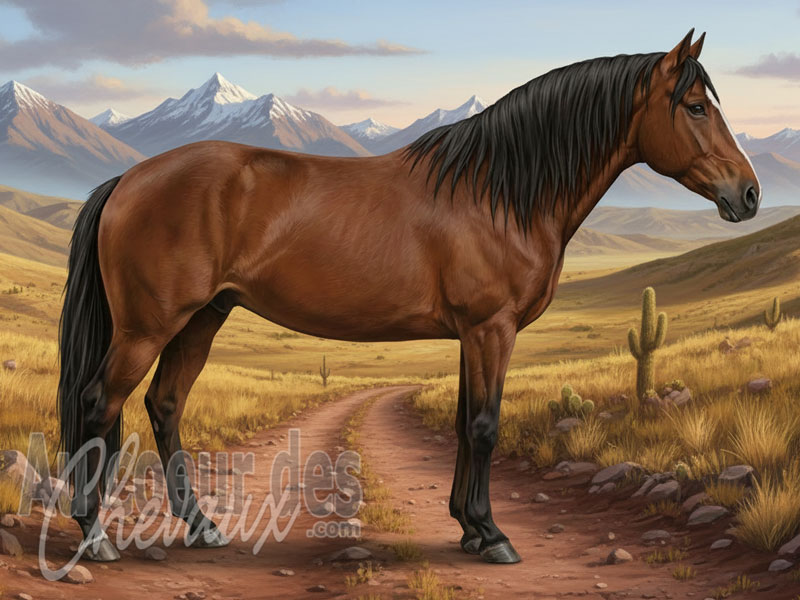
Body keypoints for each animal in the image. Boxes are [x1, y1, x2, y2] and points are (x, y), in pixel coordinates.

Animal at [58, 29, 760, 564]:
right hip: (148, 327)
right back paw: (95, 537)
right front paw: (493, 535)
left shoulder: (473, 334)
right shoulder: (491, 328)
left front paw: (470, 527)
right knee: (98, 403)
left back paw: (201, 526)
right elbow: (484, 427)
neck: (499, 193)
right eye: (694, 106)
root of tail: (130, 177)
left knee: (164, 405)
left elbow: (465, 423)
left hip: (201, 319)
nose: (748, 194)